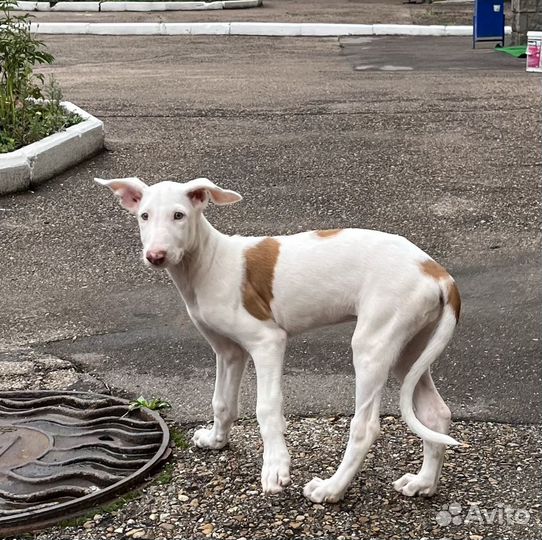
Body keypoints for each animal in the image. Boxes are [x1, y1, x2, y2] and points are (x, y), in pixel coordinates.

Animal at [95, 176, 462, 502]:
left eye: (179, 215)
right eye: (144, 216)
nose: (155, 255)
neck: (209, 264)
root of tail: (437, 272)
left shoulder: (267, 341)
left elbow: (266, 408)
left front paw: (275, 468)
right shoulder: (228, 351)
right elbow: (222, 401)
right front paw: (216, 440)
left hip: (372, 346)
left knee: (366, 427)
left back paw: (331, 489)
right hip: (408, 348)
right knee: (435, 413)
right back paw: (423, 483)